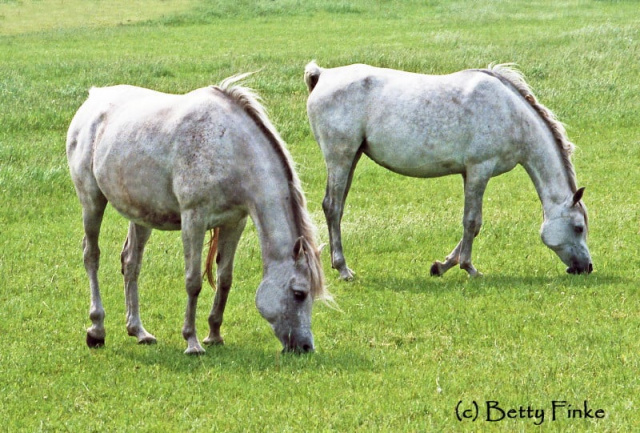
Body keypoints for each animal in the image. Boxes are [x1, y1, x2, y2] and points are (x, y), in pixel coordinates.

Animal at [67, 73, 328, 352]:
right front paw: (191, 341)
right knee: (91, 255)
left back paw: (138, 331)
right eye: (299, 293)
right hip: (92, 201)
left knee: (131, 263)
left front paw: (214, 334)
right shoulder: (194, 220)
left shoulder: (235, 222)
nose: (306, 347)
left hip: (140, 215)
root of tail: (94, 98)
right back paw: (96, 330)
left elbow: (225, 279)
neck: (229, 147)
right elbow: (193, 282)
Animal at [304, 62, 592, 282]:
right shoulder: (480, 169)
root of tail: (322, 75)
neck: (511, 114)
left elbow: (472, 225)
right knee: (333, 207)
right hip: (340, 158)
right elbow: (472, 222)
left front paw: (441, 266)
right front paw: (469, 268)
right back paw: (343, 269)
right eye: (578, 227)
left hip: (351, 159)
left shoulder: (469, 174)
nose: (586, 267)